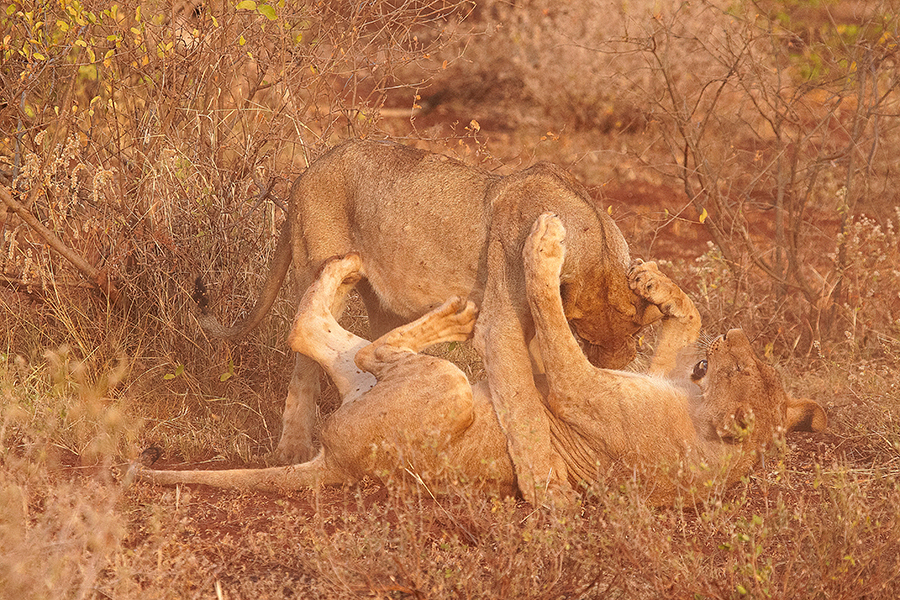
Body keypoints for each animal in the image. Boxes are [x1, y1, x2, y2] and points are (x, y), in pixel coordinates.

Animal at [132, 213, 824, 504]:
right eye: (753, 362)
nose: (736, 340)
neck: (701, 413)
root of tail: (335, 467)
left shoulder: (581, 390)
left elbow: (556, 331)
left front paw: (545, 244)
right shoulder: (656, 373)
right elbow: (688, 321)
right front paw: (657, 284)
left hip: (446, 386)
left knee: (370, 347)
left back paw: (454, 316)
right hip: (381, 380)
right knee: (309, 329)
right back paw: (348, 270)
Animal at [195, 139, 660, 502]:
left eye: (635, 339)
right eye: (585, 338)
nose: (608, 372)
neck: (593, 239)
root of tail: (305, 172)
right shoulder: (501, 326)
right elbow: (523, 406)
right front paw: (549, 489)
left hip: (382, 302)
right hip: (318, 262)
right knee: (305, 356)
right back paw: (292, 448)